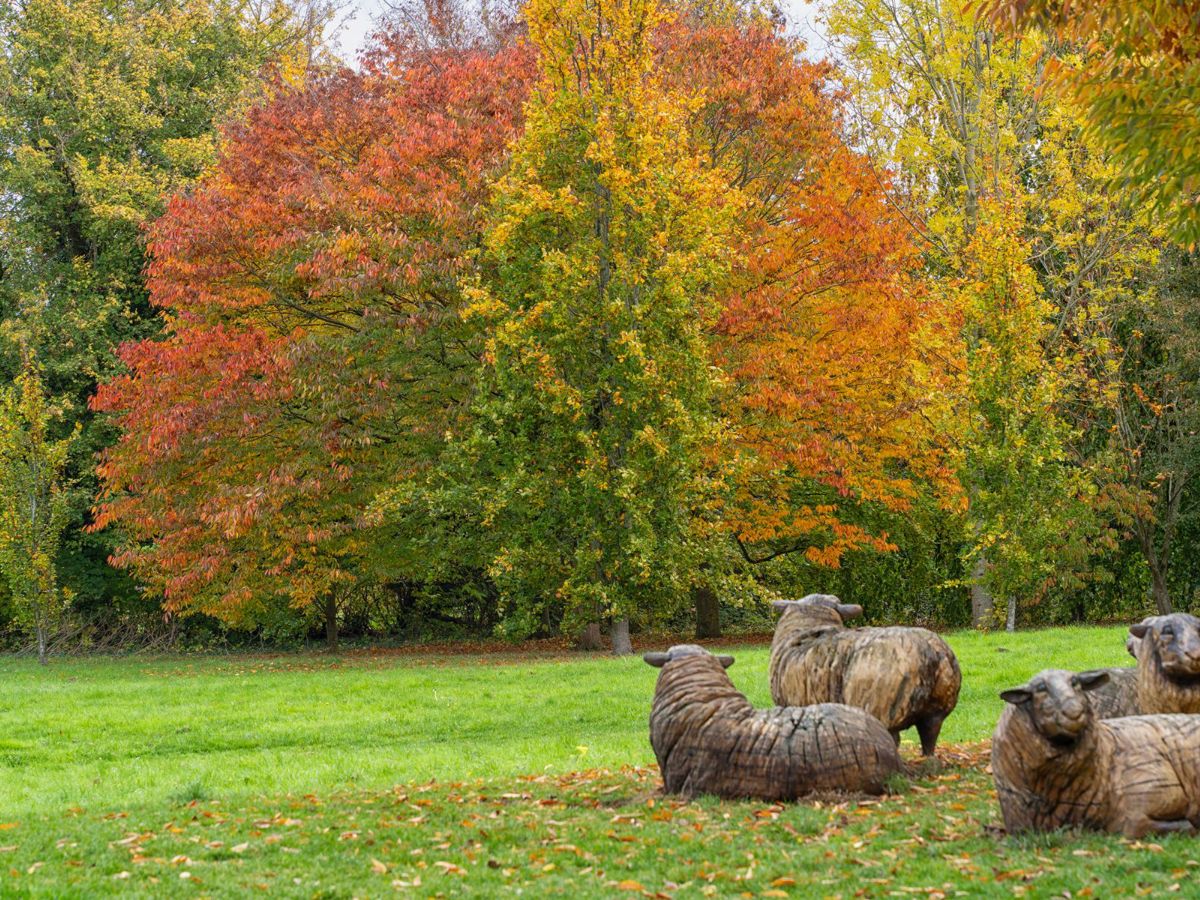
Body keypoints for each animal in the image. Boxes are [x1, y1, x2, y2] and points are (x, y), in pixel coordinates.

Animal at [768, 594, 961, 754]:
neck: (809, 627)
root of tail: (934, 653)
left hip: (880, 706)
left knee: (892, 739)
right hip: (937, 709)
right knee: (929, 735)